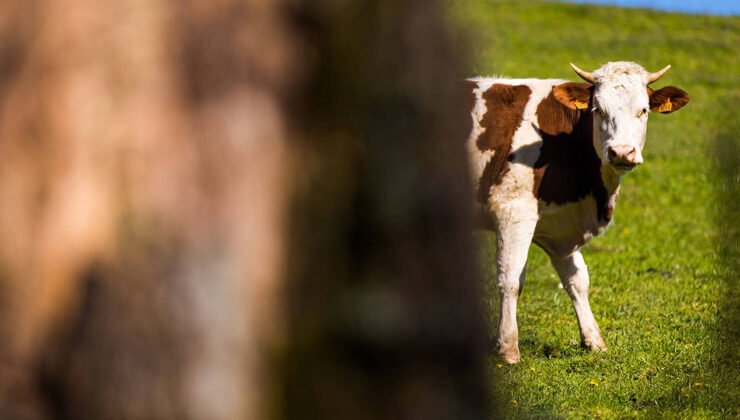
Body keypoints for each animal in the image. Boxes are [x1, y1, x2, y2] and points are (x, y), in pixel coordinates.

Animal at [466, 60, 692, 362]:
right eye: (598, 110)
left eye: (643, 110)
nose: (622, 152)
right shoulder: (512, 210)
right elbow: (511, 278)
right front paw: (508, 348)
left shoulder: (558, 227)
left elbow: (577, 280)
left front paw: (593, 340)